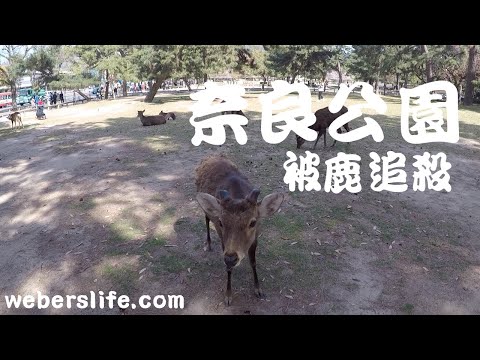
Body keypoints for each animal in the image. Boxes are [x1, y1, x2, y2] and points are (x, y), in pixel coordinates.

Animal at [196, 153, 284, 306]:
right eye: (221, 222)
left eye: (253, 222)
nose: (231, 258)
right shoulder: (223, 239)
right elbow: (228, 268)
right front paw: (228, 296)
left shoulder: (255, 237)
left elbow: (253, 262)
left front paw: (258, 290)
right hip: (206, 210)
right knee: (206, 218)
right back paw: (208, 244)